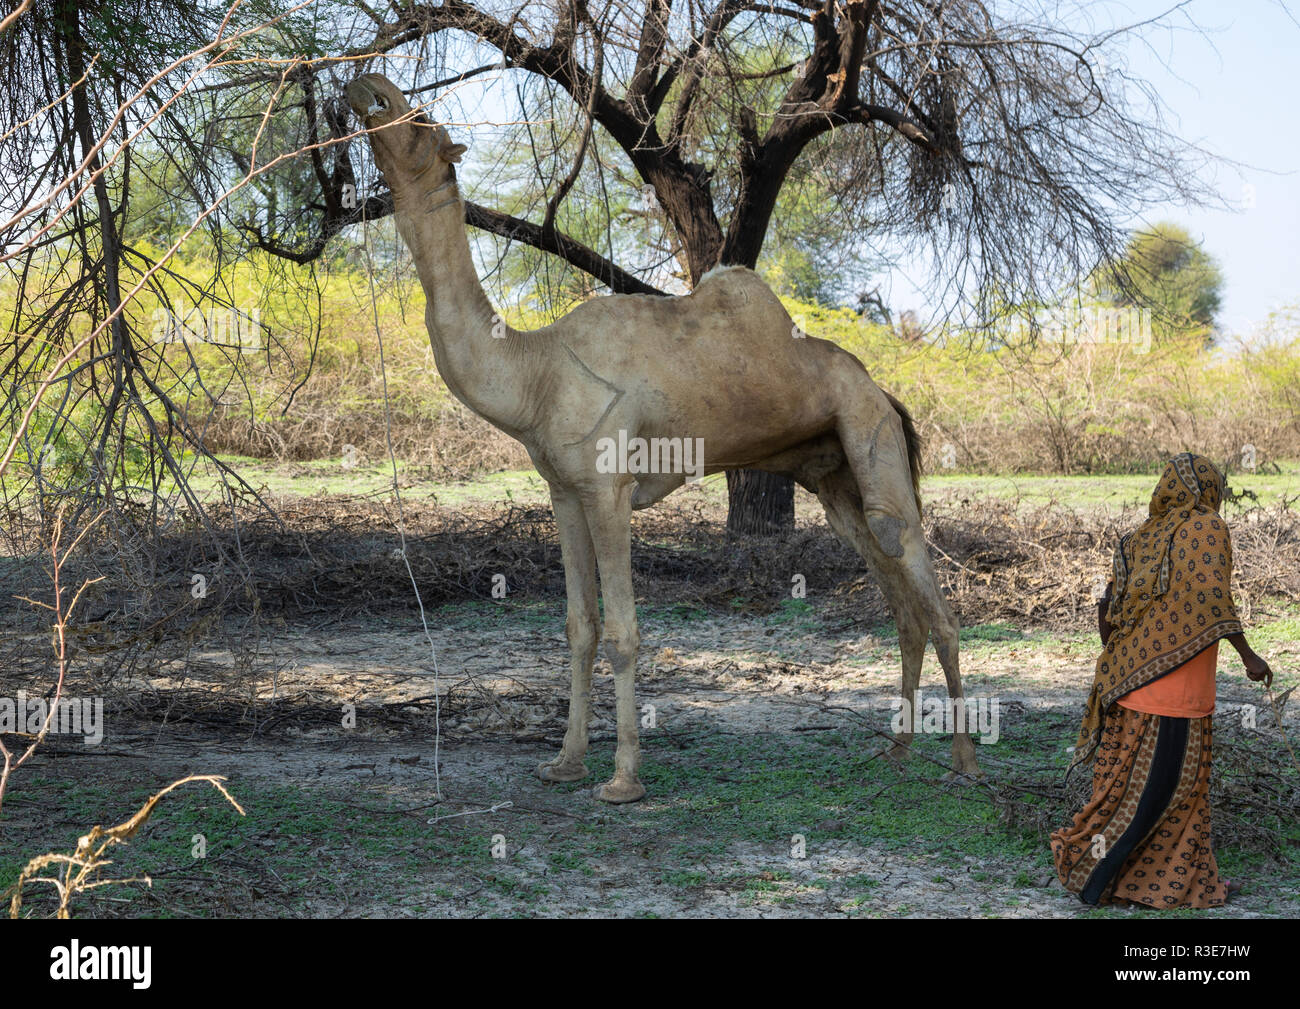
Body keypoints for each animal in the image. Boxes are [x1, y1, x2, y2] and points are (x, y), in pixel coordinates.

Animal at [346, 74, 980, 803]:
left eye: (420, 124)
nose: (367, 90)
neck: (534, 371)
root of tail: (884, 392)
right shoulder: (565, 492)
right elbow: (579, 626)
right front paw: (564, 762)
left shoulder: (608, 485)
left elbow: (622, 630)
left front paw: (623, 778)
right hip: (832, 474)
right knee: (899, 602)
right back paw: (898, 751)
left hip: (869, 435)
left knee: (924, 585)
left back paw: (964, 761)